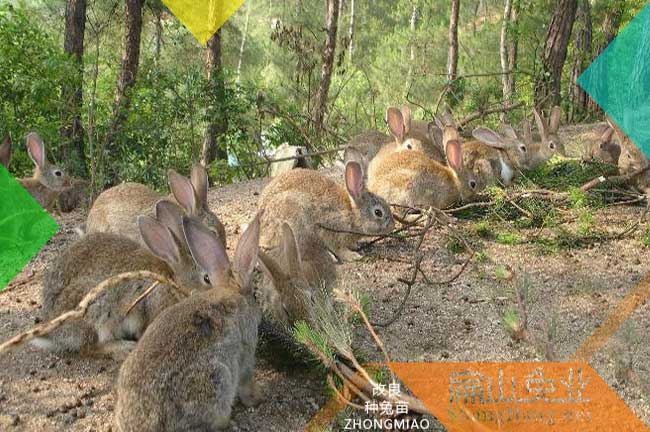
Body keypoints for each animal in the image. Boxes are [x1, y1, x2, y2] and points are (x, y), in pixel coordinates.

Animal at [33, 202, 213, 362]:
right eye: (206, 278)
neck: (173, 281)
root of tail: (55, 336)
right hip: (93, 309)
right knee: (89, 347)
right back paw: (123, 348)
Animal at [115, 213, 262, 432]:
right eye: (254, 295)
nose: (260, 312)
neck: (230, 290)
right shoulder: (246, 352)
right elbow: (245, 380)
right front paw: (256, 399)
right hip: (216, 380)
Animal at [256, 156, 392, 264]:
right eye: (378, 212)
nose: (392, 225)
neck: (352, 213)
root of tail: (262, 231)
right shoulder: (331, 229)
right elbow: (338, 248)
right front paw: (353, 256)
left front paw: (354, 246)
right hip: (294, 221)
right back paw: (330, 257)